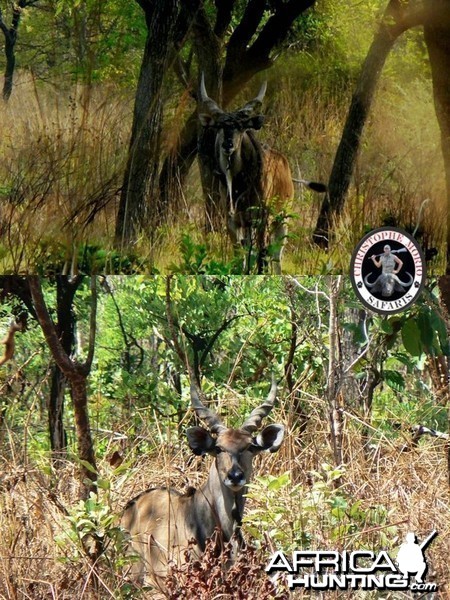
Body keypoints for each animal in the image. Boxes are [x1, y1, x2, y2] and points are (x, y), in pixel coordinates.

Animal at [199, 75, 326, 274]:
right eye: (219, 125)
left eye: (241, 126)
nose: (228, 145)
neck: (239, 186)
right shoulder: (233, 221)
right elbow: (240, 258)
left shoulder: (262, 218)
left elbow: (262, 257)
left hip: (282, 220)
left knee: (276, 256)